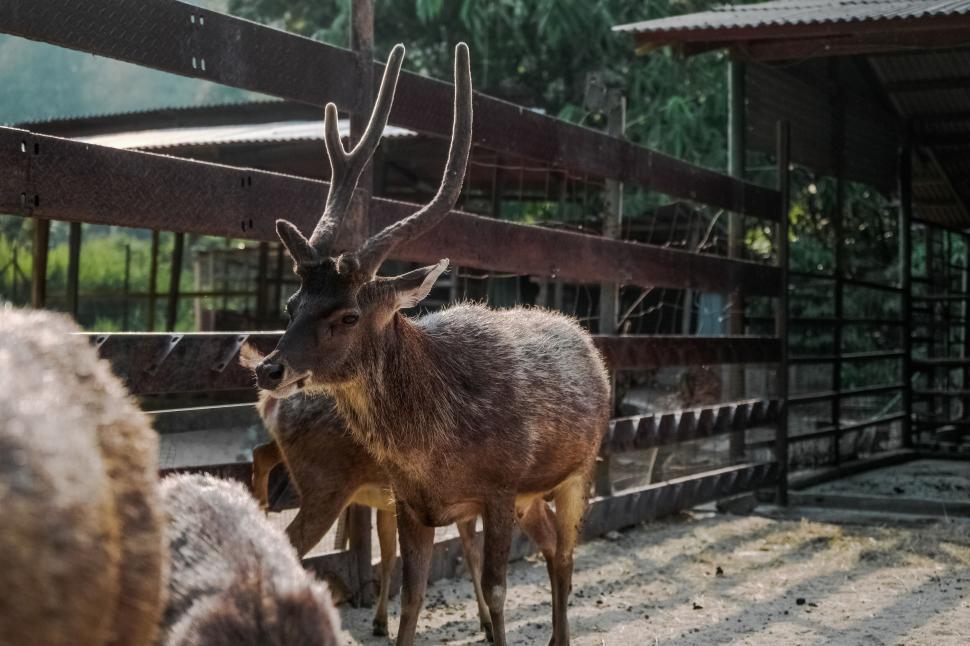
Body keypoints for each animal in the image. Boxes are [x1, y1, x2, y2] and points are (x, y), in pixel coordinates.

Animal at [240, 345, 493, 638]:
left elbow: (388, 555)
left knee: (260, 453)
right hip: (325, 484)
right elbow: (472, 554)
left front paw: (380, 622)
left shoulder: (390, 503)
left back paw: (259, 504)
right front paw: (486, 624)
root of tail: (271, 403)